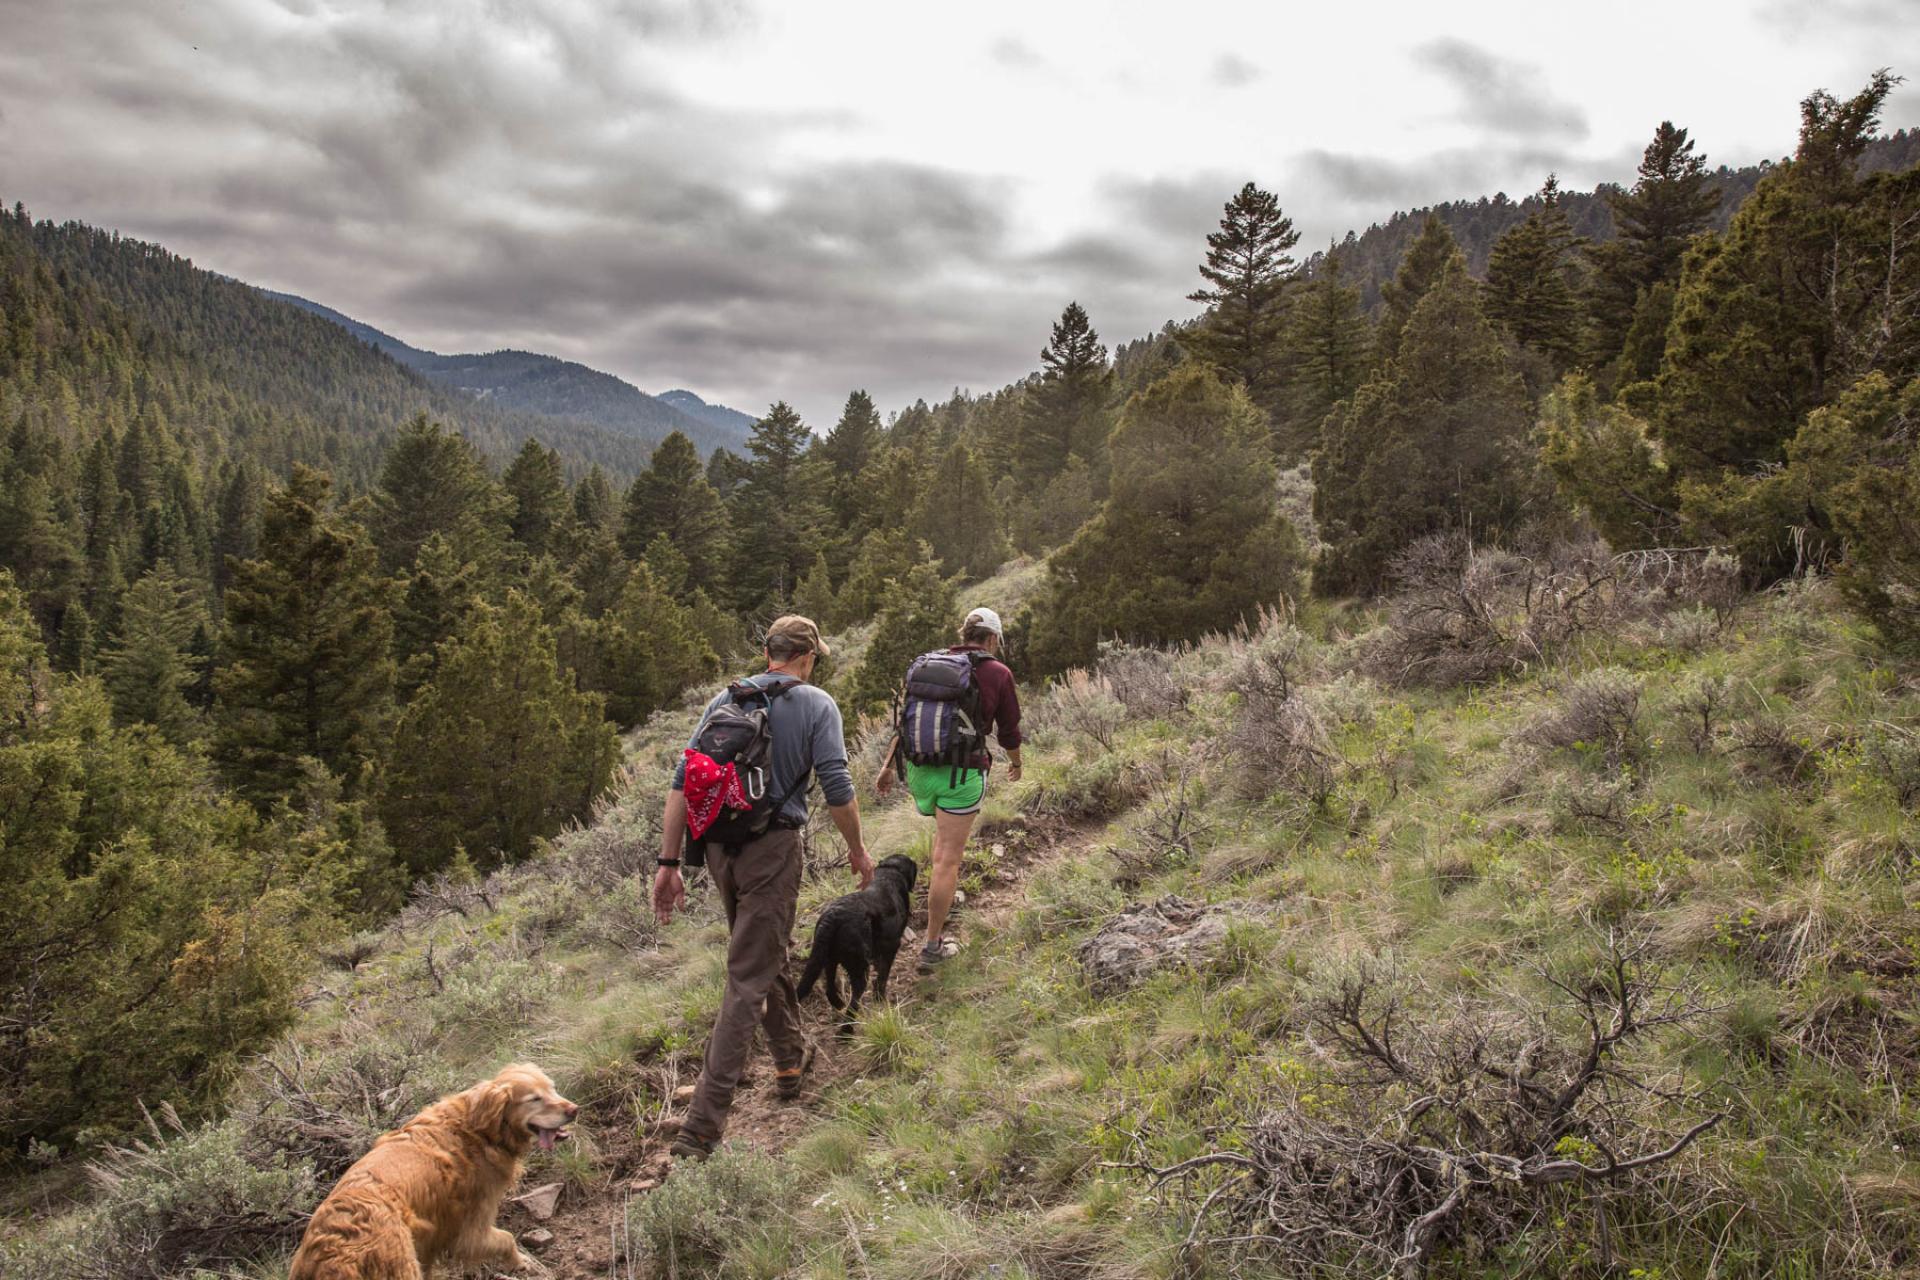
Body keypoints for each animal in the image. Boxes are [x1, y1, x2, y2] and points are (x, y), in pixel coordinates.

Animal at [791, 855, 917, 1028]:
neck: (889, 874)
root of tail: (832, 917)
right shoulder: (892, 945)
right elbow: (883, 975)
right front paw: (880, 998)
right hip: (859, 964)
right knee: (855, 998)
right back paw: (847, 1028)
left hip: (828, 958)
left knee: (830, 987)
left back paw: (838, 1004)